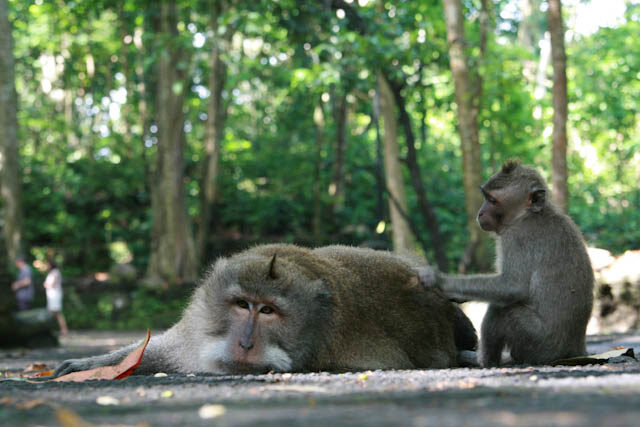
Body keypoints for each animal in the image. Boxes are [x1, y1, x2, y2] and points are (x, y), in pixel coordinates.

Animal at [418, 159, 594, 367]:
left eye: (493, 200)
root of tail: (574, 350)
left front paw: (440, 280)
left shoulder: (515, 237)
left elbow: (512, 286)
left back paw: (482, 361)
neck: (527, 215)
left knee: (502, 310)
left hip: (540, 344)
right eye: (485, 197)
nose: (480, 213)